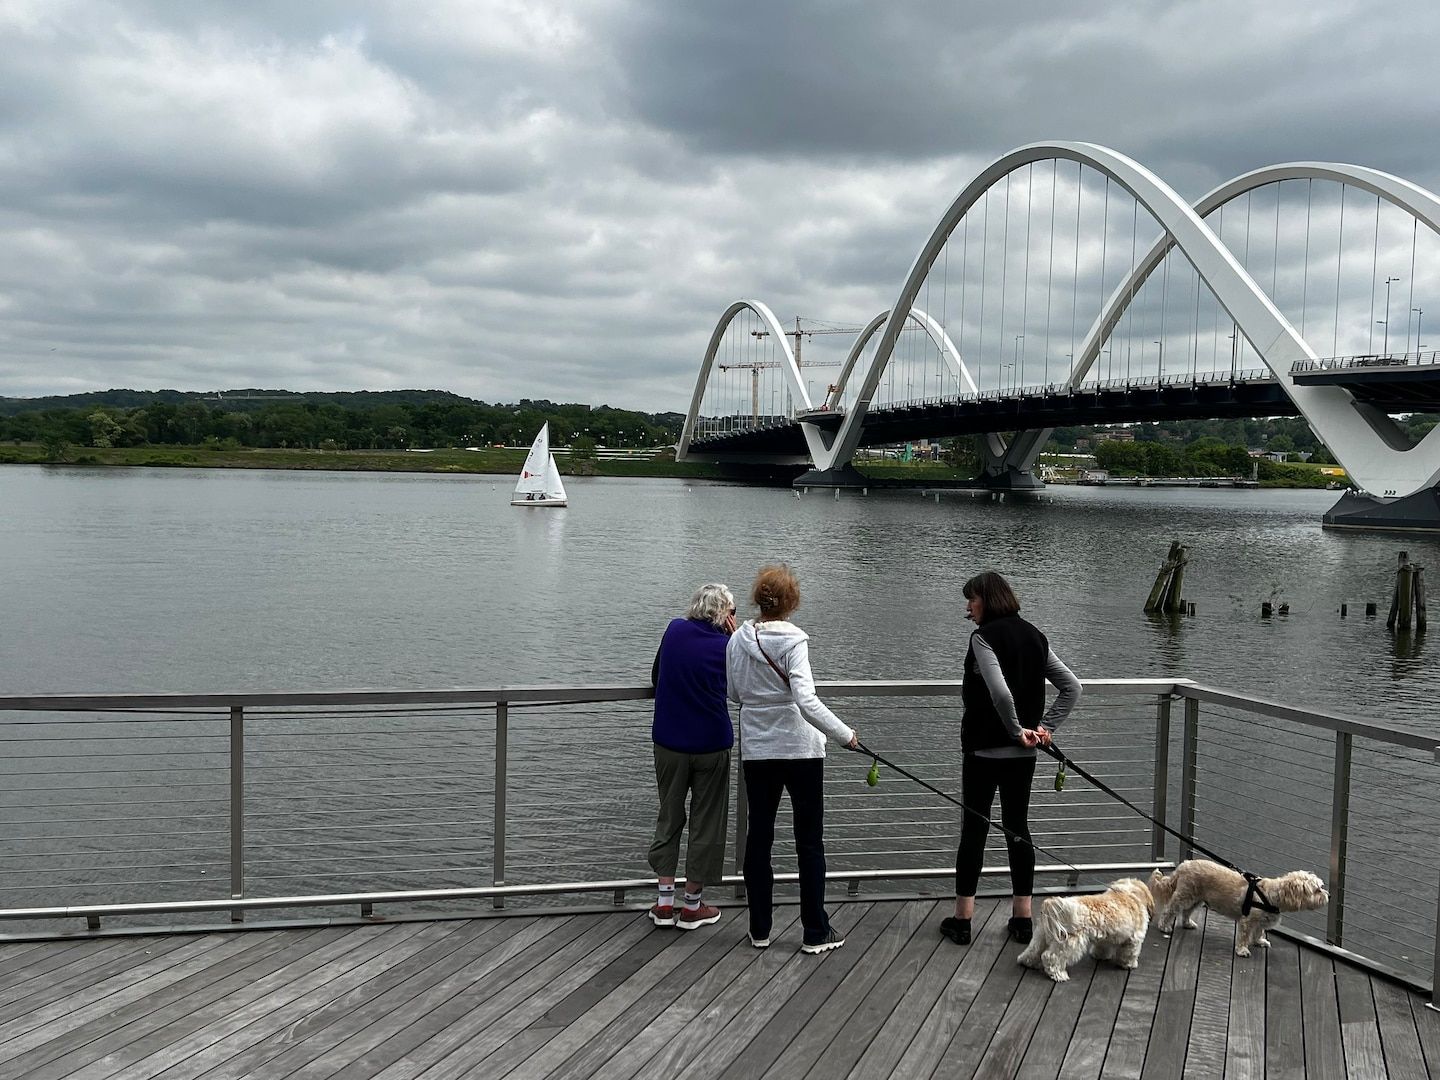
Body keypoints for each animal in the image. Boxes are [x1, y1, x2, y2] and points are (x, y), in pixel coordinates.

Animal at [1019, 881, 1152, 984]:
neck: (1128, 893)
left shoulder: (1105, 937)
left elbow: (1102, 947)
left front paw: (1100, 956)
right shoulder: (1134, 939)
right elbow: (1130, 953)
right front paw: (1129, 964)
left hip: (1041, 935)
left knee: (1033, 950)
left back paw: (1027, 961)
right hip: (1070, 943)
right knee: (1050, 957)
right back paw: (1058, 975)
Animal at [1146, 858, 1324, 961]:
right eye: (1317, 890)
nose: (1327, 895)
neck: (1270, 895)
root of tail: (1183, 865)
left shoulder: (1260, 922)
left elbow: (1258, 933)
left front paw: (1259, 942)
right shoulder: (1248, 921)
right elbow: (1244, 936)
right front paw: (1242, 950)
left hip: (1197, 898)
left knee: (1186, 912)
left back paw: (1188, 923)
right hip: (1185, 895)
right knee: (1170, 909)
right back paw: (1164, 926)